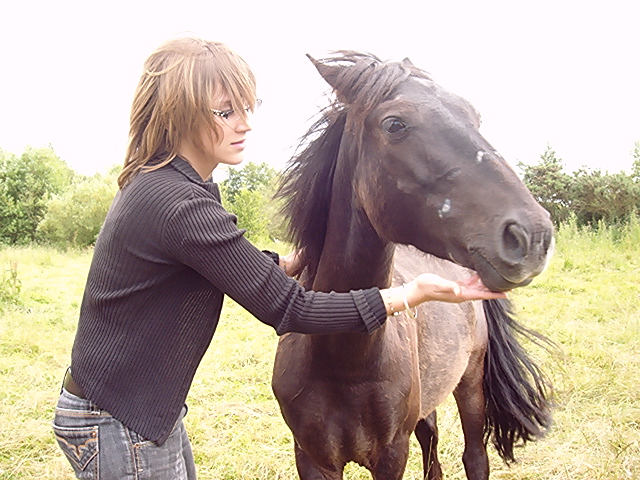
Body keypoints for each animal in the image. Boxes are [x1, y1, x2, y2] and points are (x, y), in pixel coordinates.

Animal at [270, 52, 556, 480]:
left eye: (474, 115)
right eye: (395, 124)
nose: (532, 235)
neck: (342, 359)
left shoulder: (392, 454)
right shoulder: (312, 458)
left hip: (470, 384)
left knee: (474, 457)